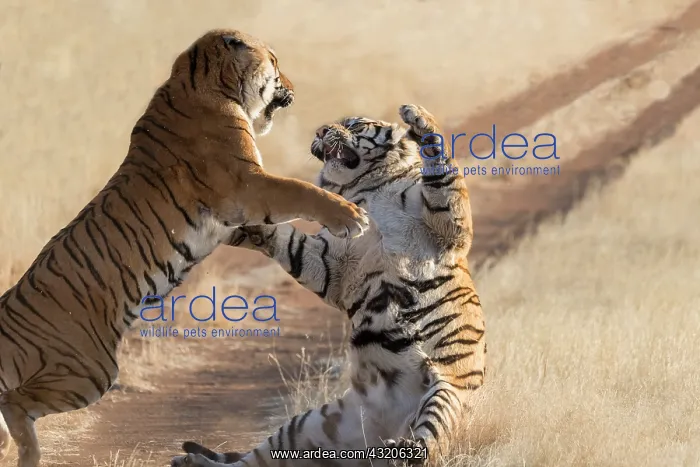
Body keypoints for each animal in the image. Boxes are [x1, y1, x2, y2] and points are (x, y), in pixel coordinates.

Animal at [0, 29, 370, 467]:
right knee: (13, 402)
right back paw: (27, 455)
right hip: (90, 372)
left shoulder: (230, 217)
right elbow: (301, 190)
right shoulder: (249, 184)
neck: (205, 81)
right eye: (276, 63)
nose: (294, 89)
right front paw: (351, 217)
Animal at [172, 104, 486, 467]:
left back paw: (407, 450)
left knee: (430, 441)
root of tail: (385, 426)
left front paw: (418, 117)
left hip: (446, 393)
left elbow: (444, 176)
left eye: (355, 124)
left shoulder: (449, 228)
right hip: (306, 427)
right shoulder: (330, 264)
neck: (366, 189)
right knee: (251, 461)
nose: (322, 131)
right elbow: (287, 241)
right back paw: (190, 461)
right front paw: (235, 227)